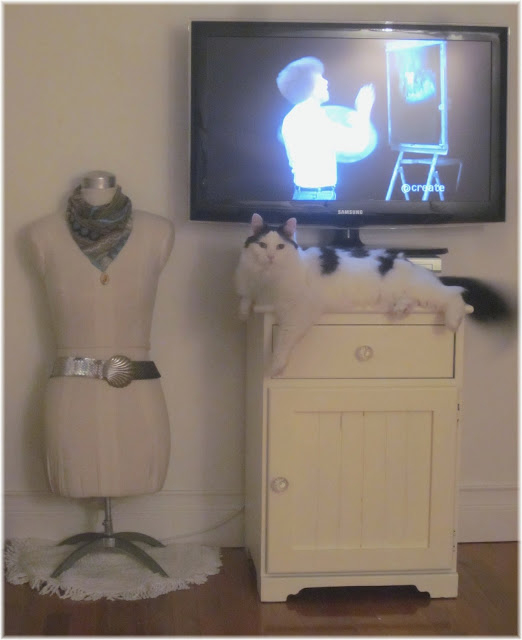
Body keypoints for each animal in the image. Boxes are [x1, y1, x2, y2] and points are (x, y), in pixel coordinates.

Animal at [235, 213, 510, 375]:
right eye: (263, 245)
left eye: (280, 246)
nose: (271, 256)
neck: (268, 279)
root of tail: (413, 264)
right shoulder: (250, 286)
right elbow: (245, 299)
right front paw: (243, 313)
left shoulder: (299, 311)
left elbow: (284, 339)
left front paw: (276, 365)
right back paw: (401, 310)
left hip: (427, 291)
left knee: (453, 294)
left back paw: (452, 320)